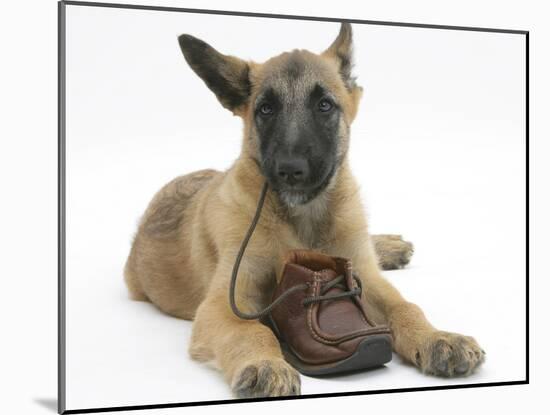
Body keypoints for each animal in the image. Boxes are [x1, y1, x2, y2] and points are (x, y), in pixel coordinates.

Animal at [126, 23, 488, 400]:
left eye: (324, 106)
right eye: (266, 109)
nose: (290, 170)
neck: (303, 219)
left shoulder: (364, 277)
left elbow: (405, 306)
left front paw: (437, 337)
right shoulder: (225, 303)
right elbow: (251, 331)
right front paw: (264, 364)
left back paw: (388, 246)